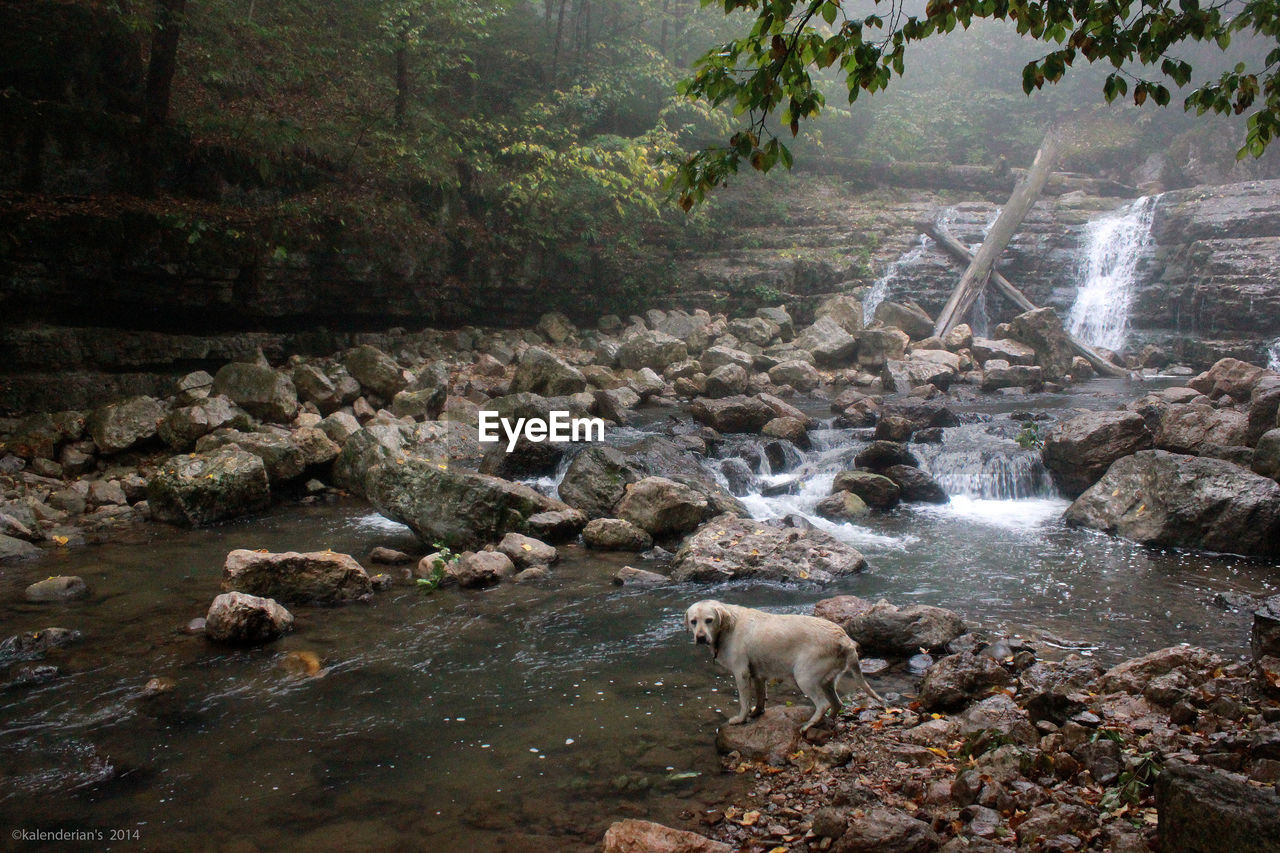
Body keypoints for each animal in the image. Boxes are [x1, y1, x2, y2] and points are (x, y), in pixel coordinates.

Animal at [686, 596, 885, 732]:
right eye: (693, 621)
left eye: (709, 620)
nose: (700, 638)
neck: (728, 627)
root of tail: (844, 639)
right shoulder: (757, 674)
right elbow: (760, 696)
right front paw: (757, 712)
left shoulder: (741, 672)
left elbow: (744, 700)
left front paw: (741, 719)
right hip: (827, 679)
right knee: (837, 703)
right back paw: (828, 721)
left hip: (804, 676)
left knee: (823, 704)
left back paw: (809, 725)